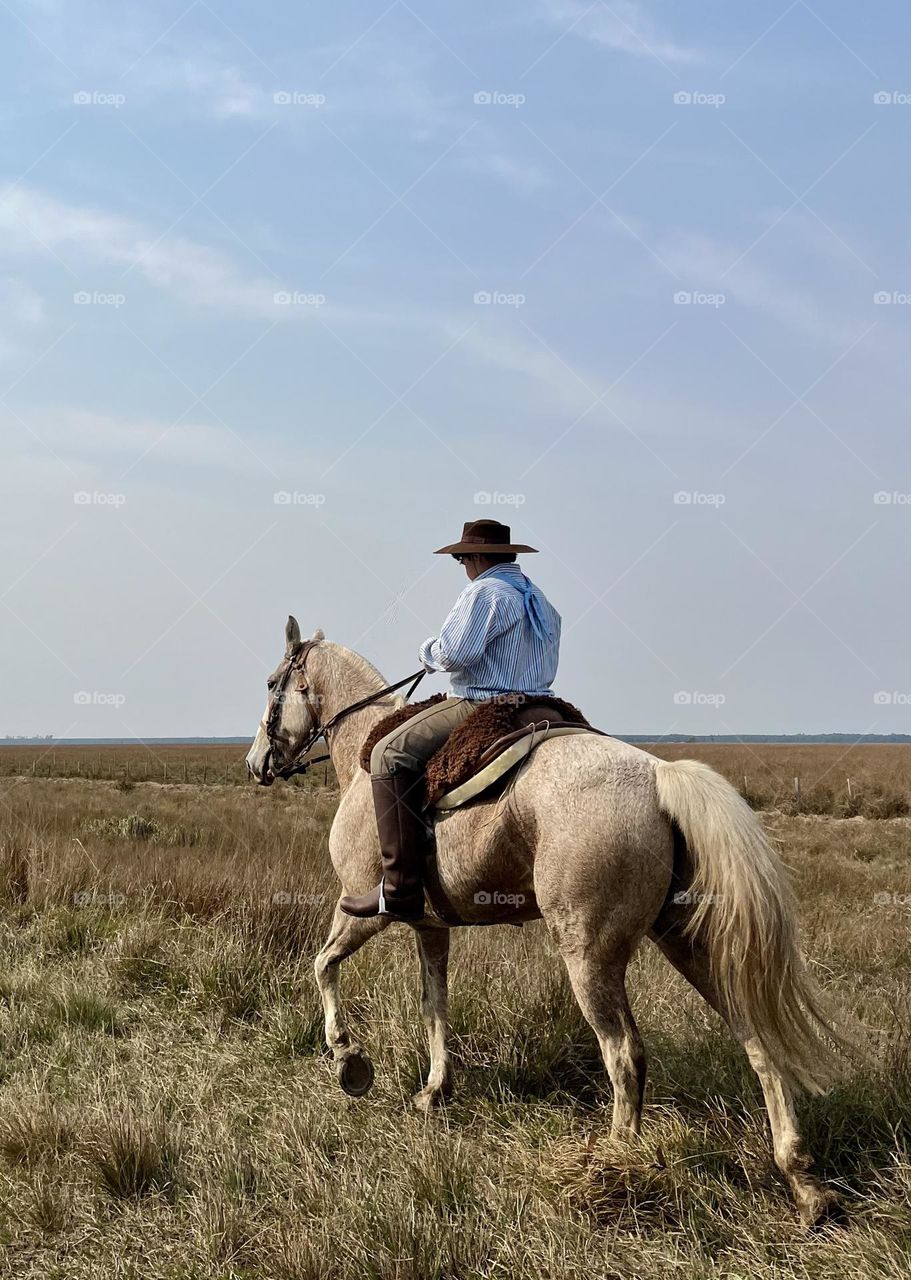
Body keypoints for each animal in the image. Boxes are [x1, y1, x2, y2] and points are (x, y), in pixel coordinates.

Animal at [246, 618, 857, 1225]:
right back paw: (802, 1182)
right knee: (756, 1041)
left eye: (273, 683)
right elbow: (434, 1006)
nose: (256, 763)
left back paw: (610, 1168)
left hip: (588, 955)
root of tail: (658, 777)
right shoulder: (431, 929)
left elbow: (323, 966)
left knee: (625, 1054)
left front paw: (349, 1061)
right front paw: (434, 1091)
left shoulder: (361, 911)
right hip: (688, 944)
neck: (361, 752)